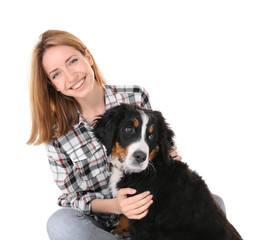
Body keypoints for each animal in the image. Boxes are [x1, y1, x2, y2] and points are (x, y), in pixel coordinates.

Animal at [93, 103, 243, 240]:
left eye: (151, 136)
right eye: (129, 129)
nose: (140, 157)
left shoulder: (144, 220)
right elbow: (125, 212)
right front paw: (120, 229)